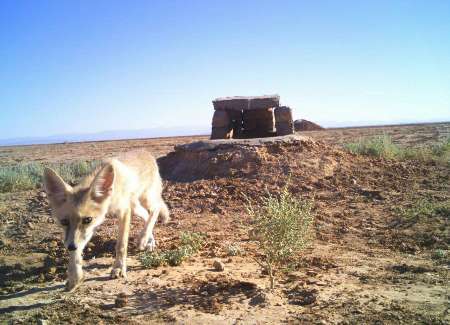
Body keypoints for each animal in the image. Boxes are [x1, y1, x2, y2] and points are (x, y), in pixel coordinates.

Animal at [43, 150, 169, 292]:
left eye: (87, 219)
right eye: (64, 221)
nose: (70, 247)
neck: (110, 197)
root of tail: (145, 152)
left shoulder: (124, 211)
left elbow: (121, 245)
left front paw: (119, 268)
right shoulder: (91, 227)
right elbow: (76, 251)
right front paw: (75, 276)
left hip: (145, 199)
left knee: (155, 210)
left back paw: (143, 238)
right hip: (135, 207)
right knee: (146, 215)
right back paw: (149, 240)